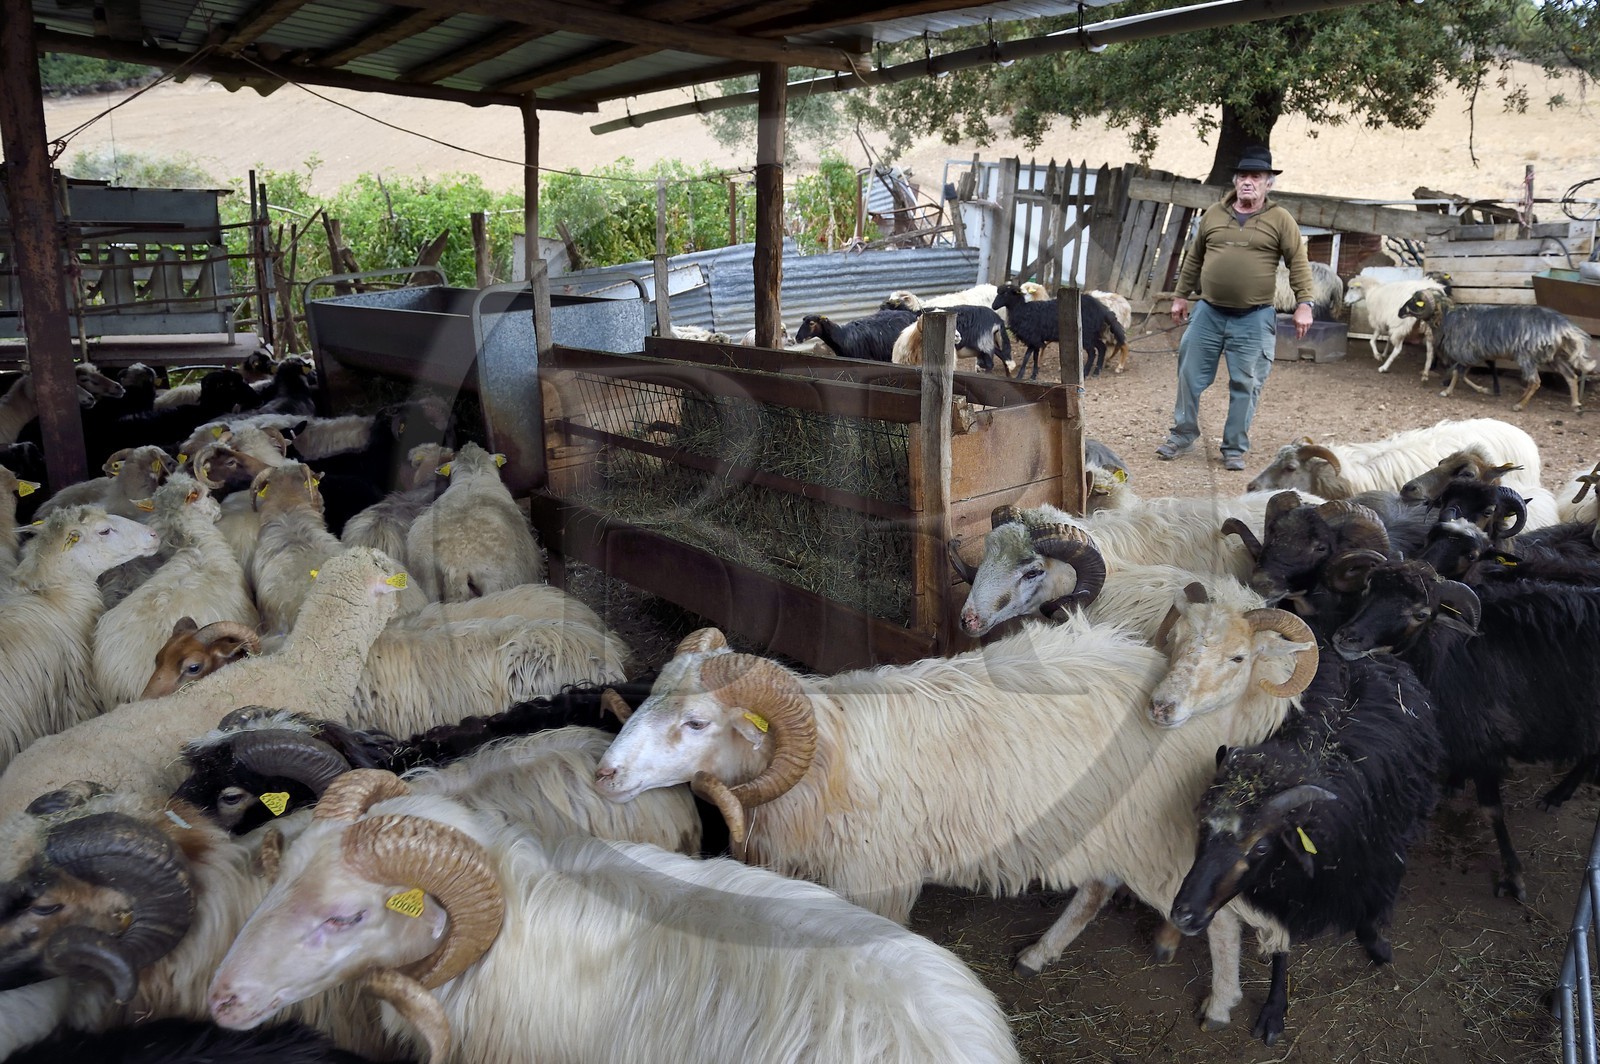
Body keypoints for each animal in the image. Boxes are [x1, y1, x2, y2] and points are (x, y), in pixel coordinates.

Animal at [596, 618, 1315, 1030]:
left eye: (696, 723)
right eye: (650, 696)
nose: (604, 774)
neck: (826, 759)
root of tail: (1178, 698)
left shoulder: (876, 881)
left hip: (1155, 834)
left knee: (1218, 918)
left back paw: (1220, 1003)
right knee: (1095, 887)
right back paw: (1041, 952)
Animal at [990, 283, 1125, 380]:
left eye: (1006, 293)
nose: (993, 306)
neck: (1023, 310)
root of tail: (1101, 309)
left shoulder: (1033, 337)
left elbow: (1028, 357)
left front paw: (1023, 375)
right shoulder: (1035, 339)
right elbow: (1032, 356)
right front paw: (1031, 375)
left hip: (1086, 335)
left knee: (1092, 352)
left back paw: (1085, 373)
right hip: (1092, 335)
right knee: (1102, 348)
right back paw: (1096, 372)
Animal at [1171, 651, 1441, 1045]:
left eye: (1261, 847)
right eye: (1203, 826)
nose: (1183, 915)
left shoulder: (1378, 858)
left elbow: (1372, 908)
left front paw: (1377, 945)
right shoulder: (1285, 893)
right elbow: (1282, 950)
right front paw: (1274, 1010)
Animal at [1331, 559, 1600, 900]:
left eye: (1421, 614)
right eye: (1368, 589)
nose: (1345, 639)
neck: (1446, 655)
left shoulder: (1484, 741)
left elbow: (1492, 810)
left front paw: (1513, 876)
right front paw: (1456, 781)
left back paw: (1558, 795)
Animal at [1399, 291, 1596, 411]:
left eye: (1415, 303)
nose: (1400, 312)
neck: (1447, 318)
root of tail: (1563, 326)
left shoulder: (1465, 352)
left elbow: (1457, 373)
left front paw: (1447, 392)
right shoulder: (1475, 355)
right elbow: (1462, 374)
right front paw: (1484, 390)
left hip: (1527, 356)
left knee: (1535, 381)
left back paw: (1519, 405)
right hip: (1553, 356)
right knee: (1571, 375)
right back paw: (1576, 404)